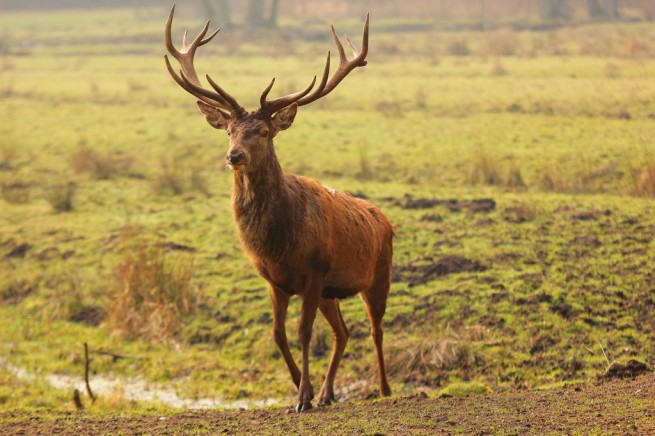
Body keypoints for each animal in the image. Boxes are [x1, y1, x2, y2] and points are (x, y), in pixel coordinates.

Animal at [164, 5, 393, 412]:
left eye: (264, 132)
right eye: (229, 131)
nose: (234, 156)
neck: (276, 243)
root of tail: (385, 220)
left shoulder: (315, 271)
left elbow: (303, 332)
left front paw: (303, 397)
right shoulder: (276, 280)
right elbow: (277, 334)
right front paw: (302, 386)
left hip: (378, 274)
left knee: (375, 329)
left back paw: (383, 389)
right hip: (333, 292)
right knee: (344, 332)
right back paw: (328, 393)